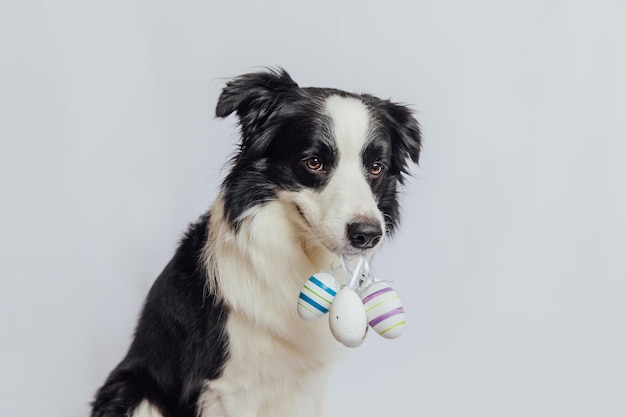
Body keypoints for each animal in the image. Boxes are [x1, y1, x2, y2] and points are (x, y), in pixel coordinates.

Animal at [90, 69, 422, 416]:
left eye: (376, 167)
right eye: (314, 162)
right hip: (134, 392)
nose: (367, 234)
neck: (301, 257)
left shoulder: (311, 384)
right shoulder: (230, 388)